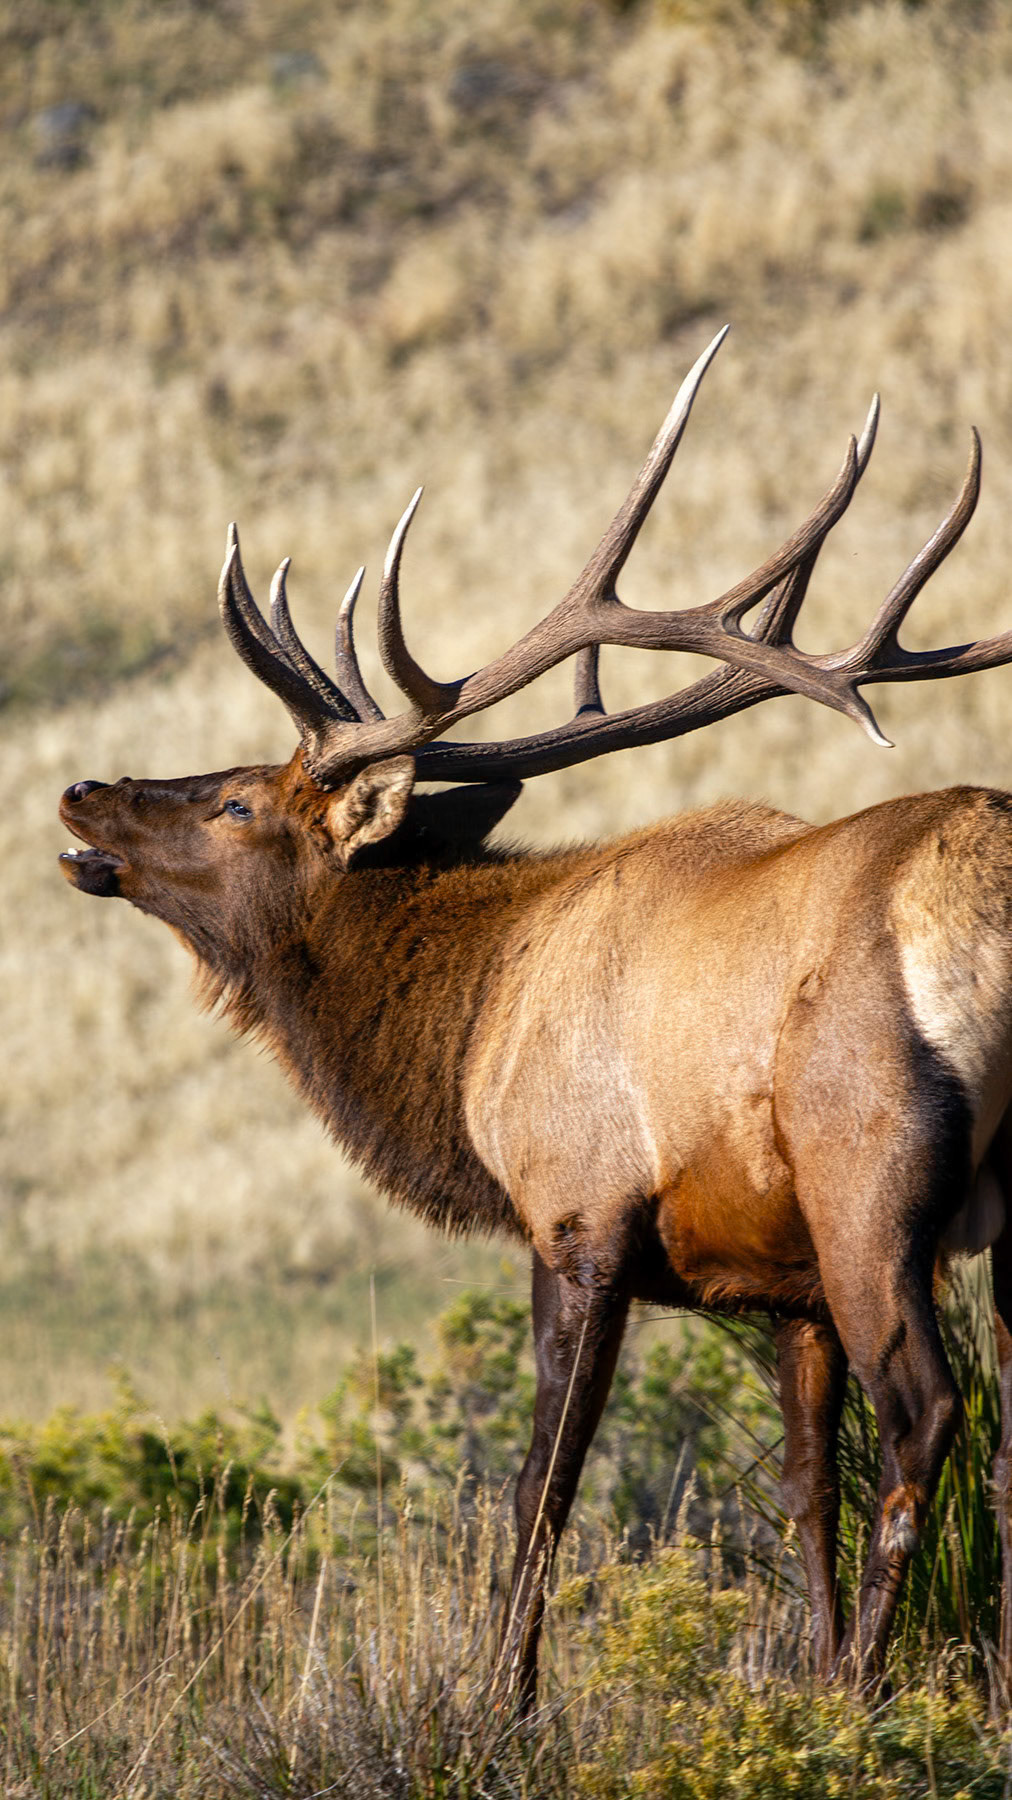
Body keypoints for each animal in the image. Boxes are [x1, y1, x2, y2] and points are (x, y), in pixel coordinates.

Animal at [58, 326, 1012, 1704]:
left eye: (238, 801)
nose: (83, 793)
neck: (468, 1034)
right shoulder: (784, 1282)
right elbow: (799, 1492)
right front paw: (813, 1676)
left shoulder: (577, 1212)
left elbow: (538, 1488)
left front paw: (502, 1699)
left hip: (868, 1178)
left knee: (928, 1412)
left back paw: (868, 1687)